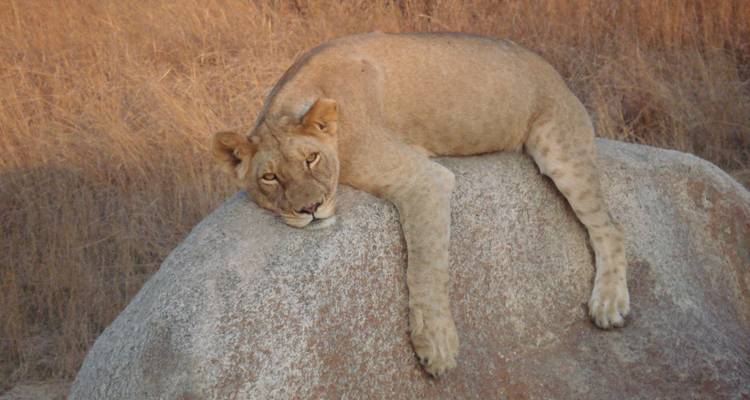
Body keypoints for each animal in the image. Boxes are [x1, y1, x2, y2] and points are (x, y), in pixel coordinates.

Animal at [212, 32, 630, 377]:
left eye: (311, 159)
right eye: (270, 177)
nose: (310, 208)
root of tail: (557, 74)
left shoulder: (425, 179)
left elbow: (425, 266)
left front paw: (437, 346)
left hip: (559, 148)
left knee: (610, 227)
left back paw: (609, 304)